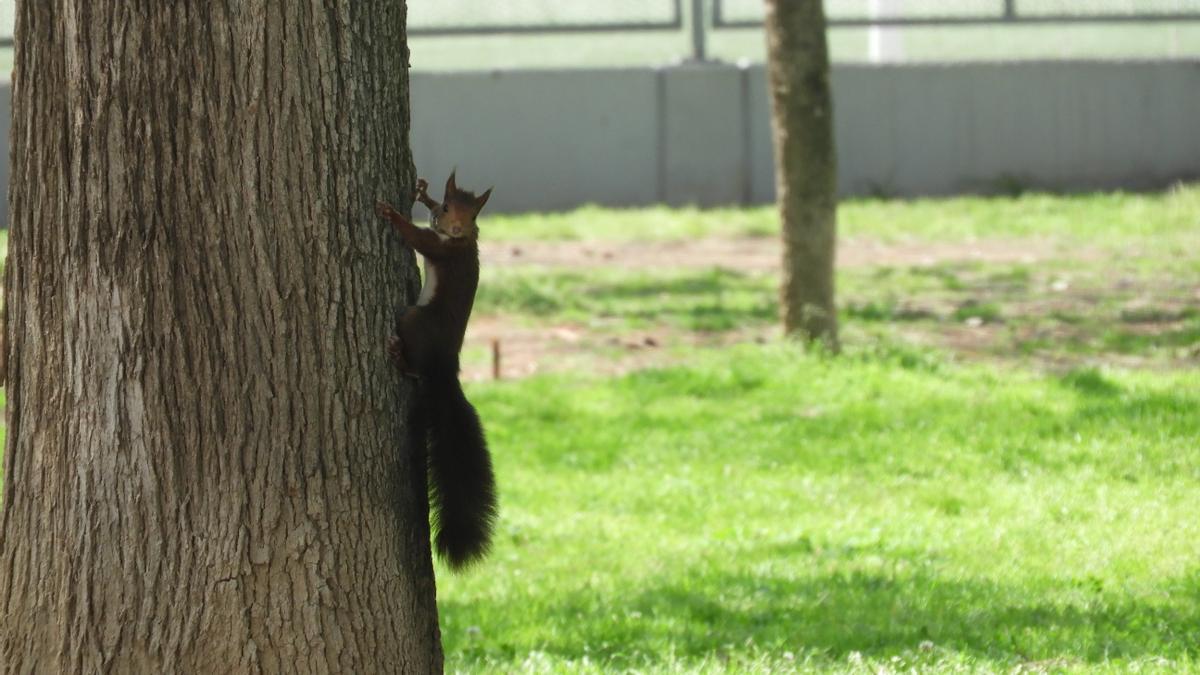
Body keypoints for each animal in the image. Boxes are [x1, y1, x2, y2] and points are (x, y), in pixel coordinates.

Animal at [379, 170, 501, 564]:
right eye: (447, 207)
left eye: (474, 215)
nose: (459, 227)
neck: (458, 240)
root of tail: (446, 367)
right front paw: (422, 193)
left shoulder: (442, 249)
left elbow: (418, 238)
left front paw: (392, 214)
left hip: (414, 319)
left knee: (415, 369)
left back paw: (399, 356)